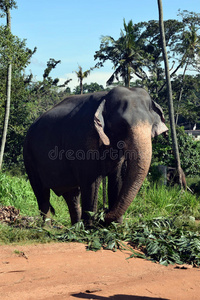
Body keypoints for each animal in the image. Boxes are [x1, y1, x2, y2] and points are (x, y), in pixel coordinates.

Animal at [23, 85, 167, 224]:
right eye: (122, 125)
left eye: (152, 125)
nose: (103, 214)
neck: (104, 97)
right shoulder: (83, 140)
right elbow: (91, 182)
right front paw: (91, 226)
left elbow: (117, 178)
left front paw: (116, 226)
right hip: (29, 157)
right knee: (42, 194)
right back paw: (48, 228)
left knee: (72, 196)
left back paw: (75, 227)